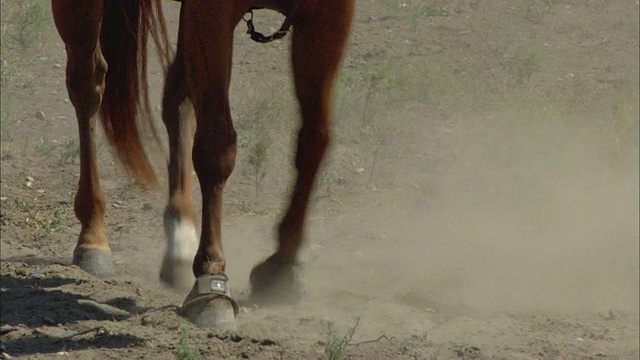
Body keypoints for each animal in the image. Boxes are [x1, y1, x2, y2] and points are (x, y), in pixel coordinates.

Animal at [52, 0, 356, 328]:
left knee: (175, 93)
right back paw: (93, 235)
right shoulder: (212, 13)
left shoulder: (330, 13)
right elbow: (216, 146)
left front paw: (283, 264)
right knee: (88, 83)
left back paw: (181, 239)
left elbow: (315, 138)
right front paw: (213, 281)